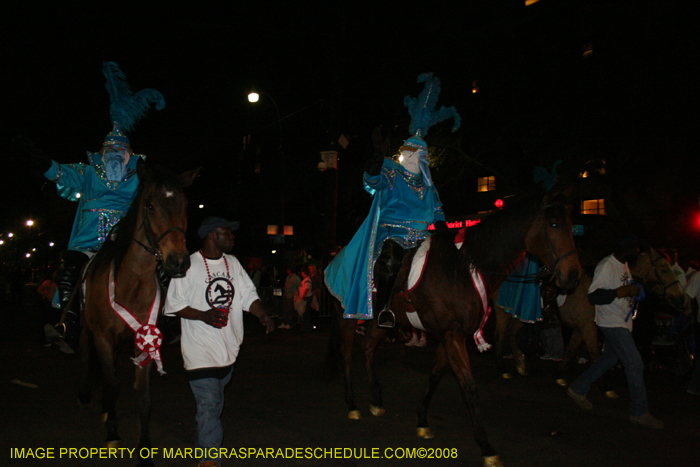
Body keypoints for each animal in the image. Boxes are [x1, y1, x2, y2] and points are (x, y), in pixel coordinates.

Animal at [78, 160, 198, 464]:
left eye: (185, 205)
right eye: (151, 205)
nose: (178, 261)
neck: (130, 283)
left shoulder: (145, 337)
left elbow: (143, 396)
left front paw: (144, 449)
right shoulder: (103, 338)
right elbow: (112, 384)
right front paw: (112, 433)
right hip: (87, 329)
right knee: (88, 356)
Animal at [330, 192, 584, 466]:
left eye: (571, 226)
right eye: (554, 225)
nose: (573, 275)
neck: (462, 270)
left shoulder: (449, 336)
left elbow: (435, 375)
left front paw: (422, 420)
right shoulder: (453, 337)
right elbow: (469, 387)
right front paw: (486, 446)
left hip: (383, 320)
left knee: (367, 348)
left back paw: (376, 400)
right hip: (349, 315)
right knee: (347, 353)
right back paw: (352, 404)